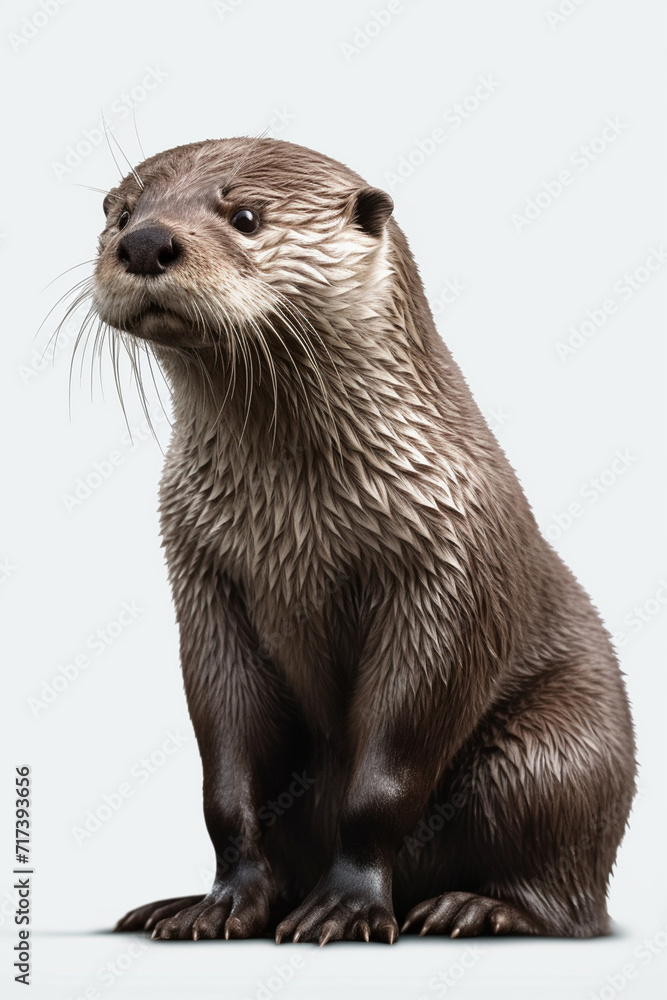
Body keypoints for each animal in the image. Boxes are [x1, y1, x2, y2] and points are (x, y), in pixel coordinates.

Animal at [90, 138, 635, 944]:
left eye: (246, 216)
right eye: (121, 212)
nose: (145, 242)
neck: (296, 520)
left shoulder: (444, 562)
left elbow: (385, 776)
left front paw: (344, 907)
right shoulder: (204, 574)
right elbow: (227, 772)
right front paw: (219, 905)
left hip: (561, 755)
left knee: (564, 895)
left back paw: (472, 906)